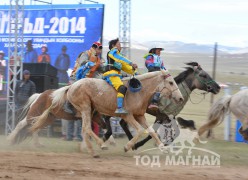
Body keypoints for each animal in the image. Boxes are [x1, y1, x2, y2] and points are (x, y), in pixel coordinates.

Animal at [30, 69, 183, 157]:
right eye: (170, 82)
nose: (180, 98)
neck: (139, 92)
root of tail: (71, 86)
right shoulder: (127, 116)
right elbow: (139, 131)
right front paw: (127, 147)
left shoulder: (139, 116)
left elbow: (151, 131)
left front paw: (163, 148)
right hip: (85, 108)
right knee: (86, 128)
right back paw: (100, 146)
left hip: (90, 111)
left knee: (85, 130)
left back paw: (92, 150)